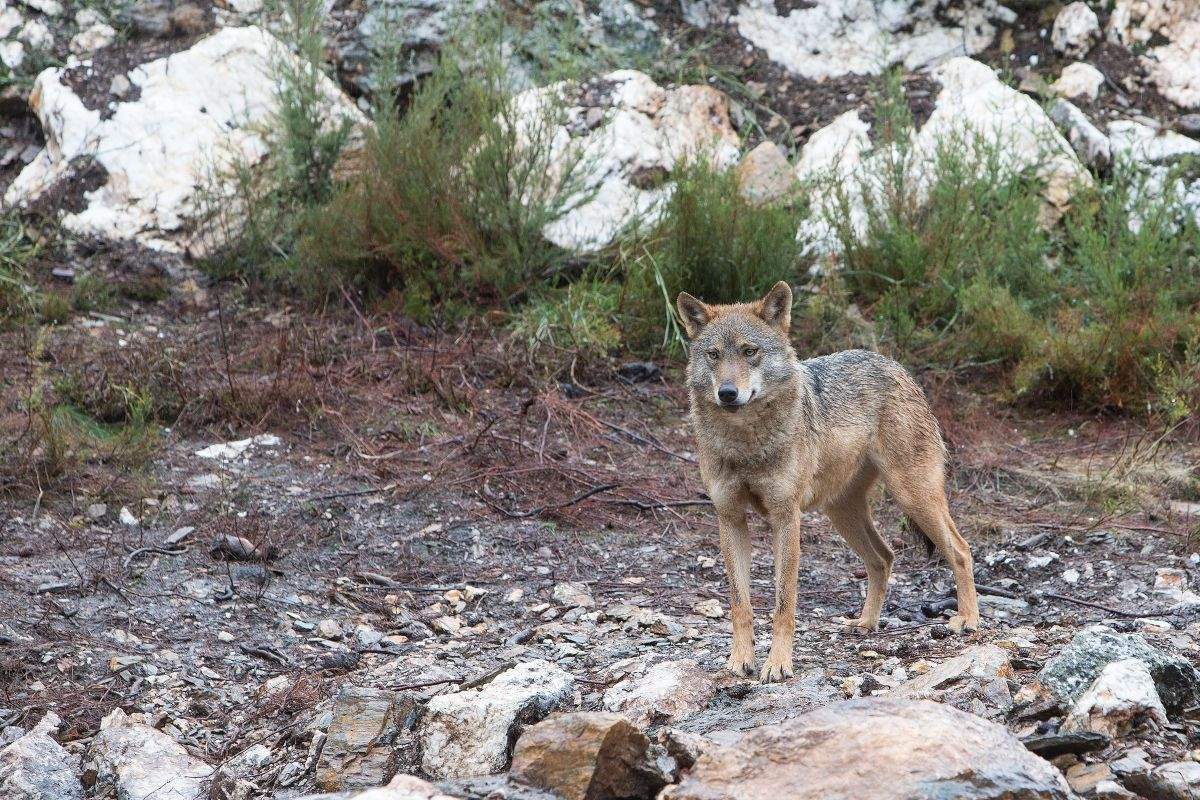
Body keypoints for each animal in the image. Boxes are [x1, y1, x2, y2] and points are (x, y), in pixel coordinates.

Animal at [677, 281, 979, 683]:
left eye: (749, 351)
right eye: (713, 355)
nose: (727, 393)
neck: (745, 442)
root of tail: (897, 366)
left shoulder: (786, 518)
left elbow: (783, 604)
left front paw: (778, 664)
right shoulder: (730, 519)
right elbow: (740, 603)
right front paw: (739, 660)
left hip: (913, 497)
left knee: (960, 549)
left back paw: (968, 619)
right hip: (842, 513)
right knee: (884, 557)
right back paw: (865, 624)